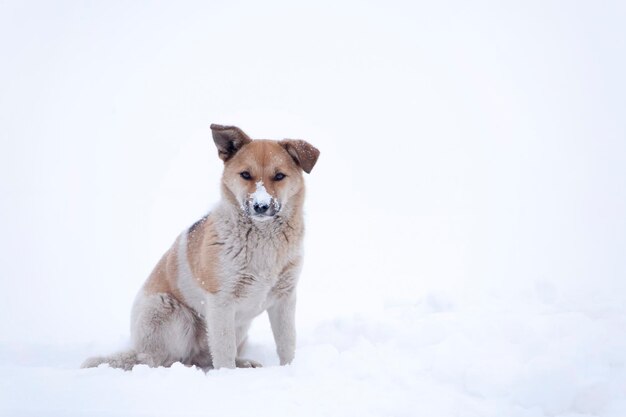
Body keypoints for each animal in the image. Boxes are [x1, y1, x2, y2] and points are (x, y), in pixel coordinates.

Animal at [81, 124, 316, 370]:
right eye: (245, 175)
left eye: (279, 176)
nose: (260, 206)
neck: (263, 241)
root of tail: (136, 349)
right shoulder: (221, 302)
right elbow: (224, 352)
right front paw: (228, 376)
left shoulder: (284, 299)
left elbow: (286, 343)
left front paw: (289, 369)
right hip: (171, 312)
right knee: (158, 359)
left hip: (239, 329)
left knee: (205, 358)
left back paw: (243, 363)